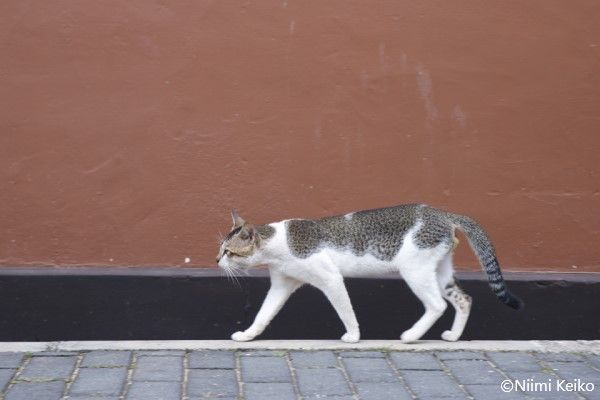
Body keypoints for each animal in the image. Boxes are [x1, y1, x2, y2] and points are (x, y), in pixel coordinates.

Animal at [216, 205, 520, 342]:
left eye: (229, 252)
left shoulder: (330, 279)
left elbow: (346, 311)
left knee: (436, 304)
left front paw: (353, 336)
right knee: (464, 299)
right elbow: (263, 314)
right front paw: (247, 335)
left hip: (415, 270)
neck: (278, 245)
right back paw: (453, 336)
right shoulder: (282, 284)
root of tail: (443, 213)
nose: (217, 260)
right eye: (220, 250)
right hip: (441, 270)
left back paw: (411, 335)